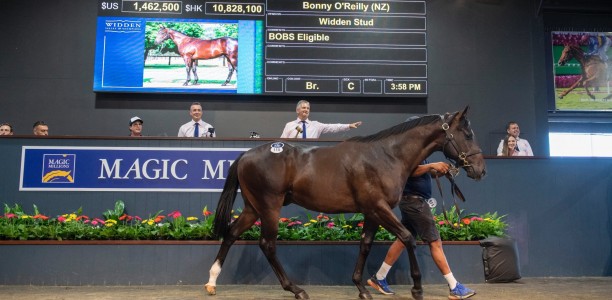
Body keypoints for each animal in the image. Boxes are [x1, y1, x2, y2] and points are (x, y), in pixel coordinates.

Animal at [206, 106, 488, 298]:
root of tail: (245, 154)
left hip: (253, 208)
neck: (385, 156)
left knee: (231, 234)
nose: (480, 170)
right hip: (270, 207)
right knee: (267, 245)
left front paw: (362, 287)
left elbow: (365, 245)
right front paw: (417, 288)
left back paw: (212, 281)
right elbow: (408, 237)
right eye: (467, 134)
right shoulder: (378, 208)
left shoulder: (372, 212)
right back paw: (296, 289)